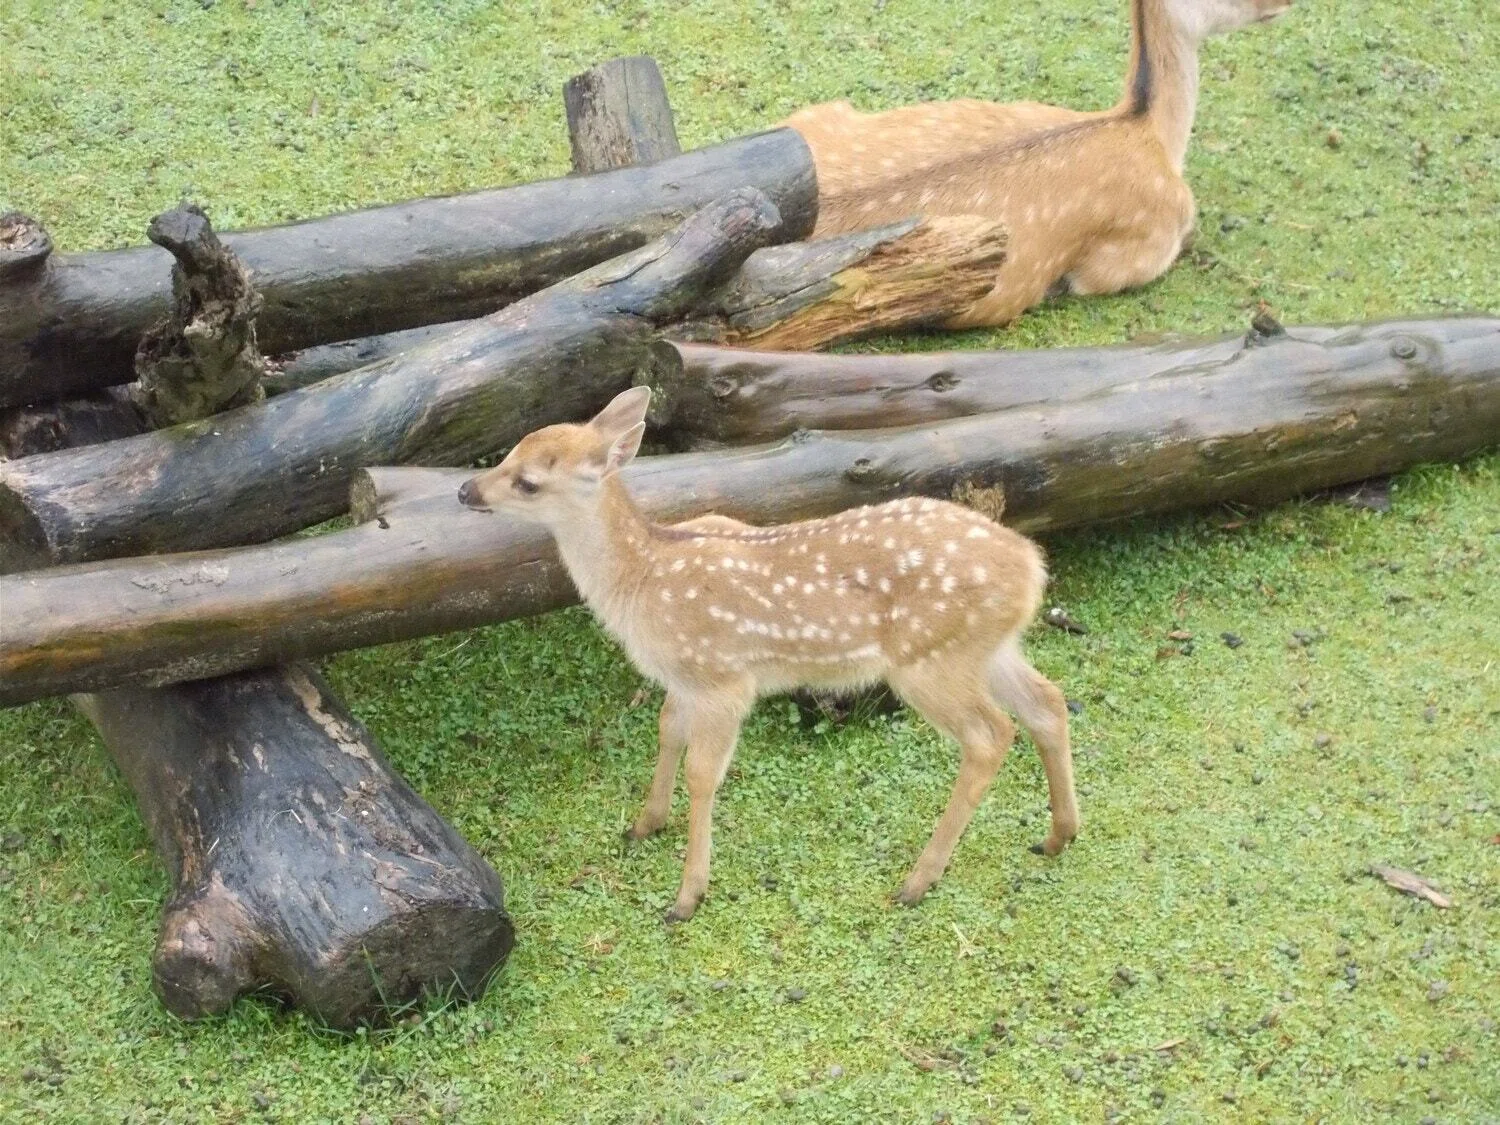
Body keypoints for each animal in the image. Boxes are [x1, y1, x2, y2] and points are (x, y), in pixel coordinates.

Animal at [458, 386, 1077, 922]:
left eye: (529, 481)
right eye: (511, 451)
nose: (466, 491)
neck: (643, 581)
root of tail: (1030, 566)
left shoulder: (723, 677)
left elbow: (703, 773)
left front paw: (687, 896)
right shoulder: (683, 679)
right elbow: (667, 730)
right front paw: (644, 824)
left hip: (930, 660)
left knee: (990, 735)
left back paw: (917, 881)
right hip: (986, 648)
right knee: (1048, 702)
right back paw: (1057, 836)